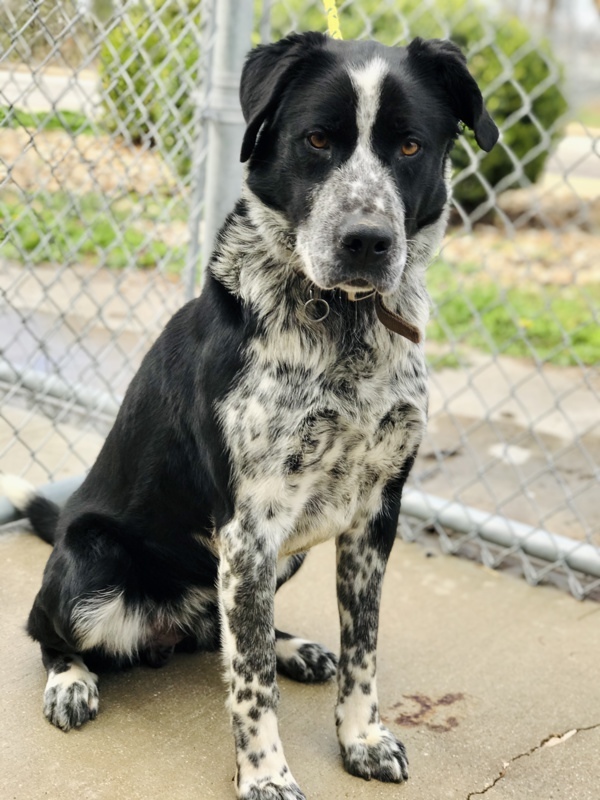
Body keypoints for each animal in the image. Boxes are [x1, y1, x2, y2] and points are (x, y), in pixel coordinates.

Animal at [1, 31, 496, 800]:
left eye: (411, 146)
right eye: (317, 139)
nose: (367, 241)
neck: (344, 326)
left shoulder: (373, 516)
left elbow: (363, 650)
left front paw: (361, 739)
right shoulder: (247, 530)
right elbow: (250, 684)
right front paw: (265, 776)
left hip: (277, 560)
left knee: (226, 635)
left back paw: (294, 648)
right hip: (93, 566)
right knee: (48, 632)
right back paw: (71, 682)